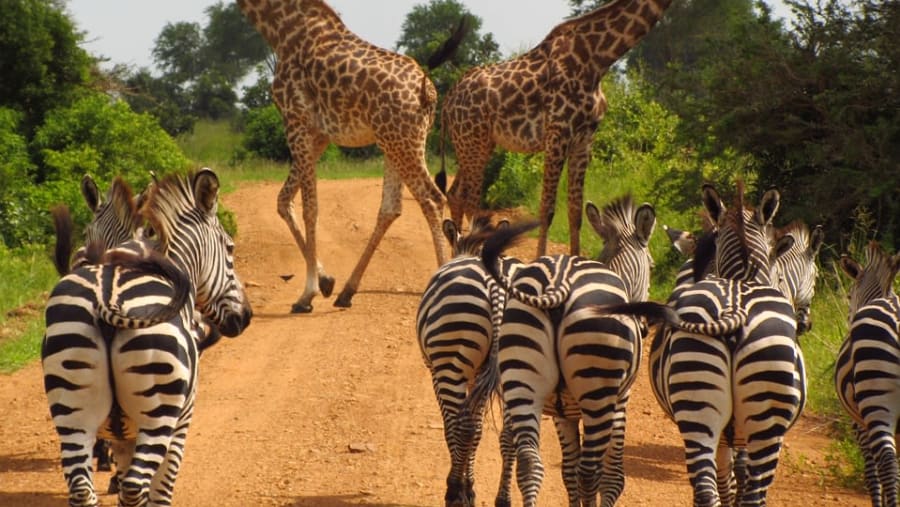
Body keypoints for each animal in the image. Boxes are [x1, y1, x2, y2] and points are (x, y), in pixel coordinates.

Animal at [42, 168, 253, 507]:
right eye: (230, 248)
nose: (245, 316)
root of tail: (106, 300)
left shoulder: (124, 434)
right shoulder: (181, 420)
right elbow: (161, 489)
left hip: (71, 409)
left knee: (83, 489)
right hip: (158, 410)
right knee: (134, 487)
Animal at [237, 0, 465, 312]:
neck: (282, 32)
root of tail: (427, 91)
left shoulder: (296, 121)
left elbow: (310, 208)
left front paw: (307, 294)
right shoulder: (320, 135)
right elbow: (283, 200)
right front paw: (325, 281)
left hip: (402, 142)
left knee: (431, 198)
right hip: (395, 141)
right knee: (391, 208)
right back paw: (346, 291)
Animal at [439, 0, 673, 257]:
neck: (597, 59)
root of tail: (448, 101)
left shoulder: (584, 139)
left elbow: (575, 210)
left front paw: (576, 259)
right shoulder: (557, 133)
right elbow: (547, 209)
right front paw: (541, 259)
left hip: (474, 143)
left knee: (455, 194)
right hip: (473, 140)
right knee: (470, 200)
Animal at [475, 195, 656, 507]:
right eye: (654, 267)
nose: (645, 329)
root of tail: (558, 282)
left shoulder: (563, 413)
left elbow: (567, 471)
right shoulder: (621, 402)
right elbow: (610, 478)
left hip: (524, 380)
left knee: (530, 463)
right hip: (598, 391)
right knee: (590, 471)